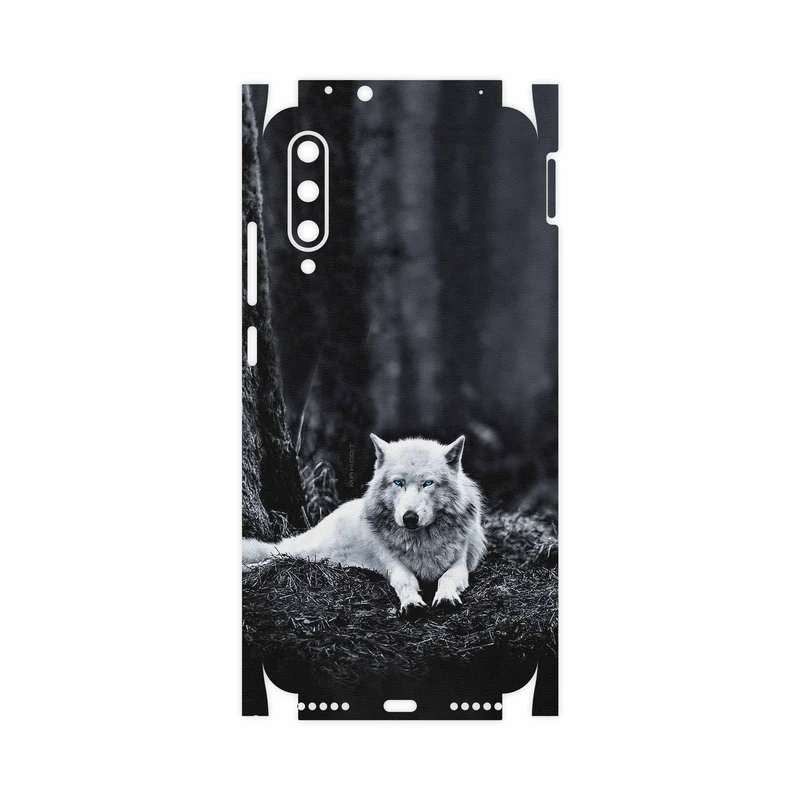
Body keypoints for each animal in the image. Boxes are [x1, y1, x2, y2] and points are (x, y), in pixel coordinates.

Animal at [242, 434, 486, 618]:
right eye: (398, 482)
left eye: (428, 483)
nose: (409, 518)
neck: (420, 542)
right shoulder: (393, 564)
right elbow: (405, 581)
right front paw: (411, 603)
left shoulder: (460, 564)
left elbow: (447, 578)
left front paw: (445, 597)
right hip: (308, 551)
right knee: (277, 555)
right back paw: (251, 568)